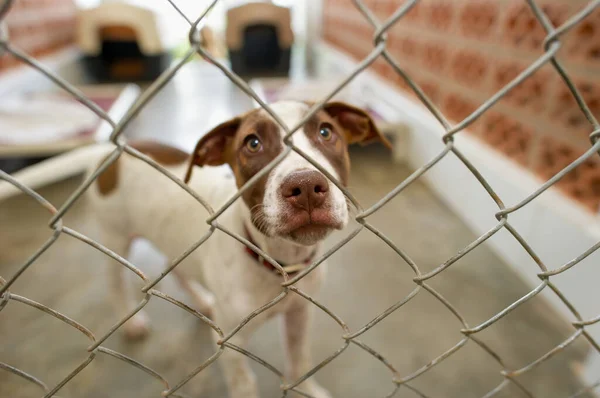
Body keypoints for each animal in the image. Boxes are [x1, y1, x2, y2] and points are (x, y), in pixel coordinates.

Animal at [2, 100, 386, 398]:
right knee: (115, 284)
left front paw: (309, 390)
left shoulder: (300, 314)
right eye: (252, 143)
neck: (278, 263)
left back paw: (202, 301)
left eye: (326, 133)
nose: (305, 186)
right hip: (113, 238)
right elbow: (245, 384)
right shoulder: (231, 346)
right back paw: (133, 321)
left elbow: (300, 359)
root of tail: (110, 151)